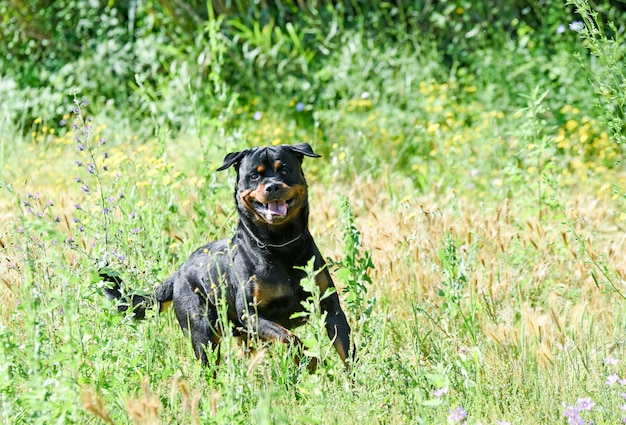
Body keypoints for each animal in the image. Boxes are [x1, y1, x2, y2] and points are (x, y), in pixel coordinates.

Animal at [105, 143, 354, 368]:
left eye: (284, 170)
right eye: (254, 176)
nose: (272, 187)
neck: (280, 245)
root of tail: (178, 273)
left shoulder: (330, 307)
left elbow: (346, 350)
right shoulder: (251, 315)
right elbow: (289, 337)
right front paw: (309, 361)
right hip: (203, 334)